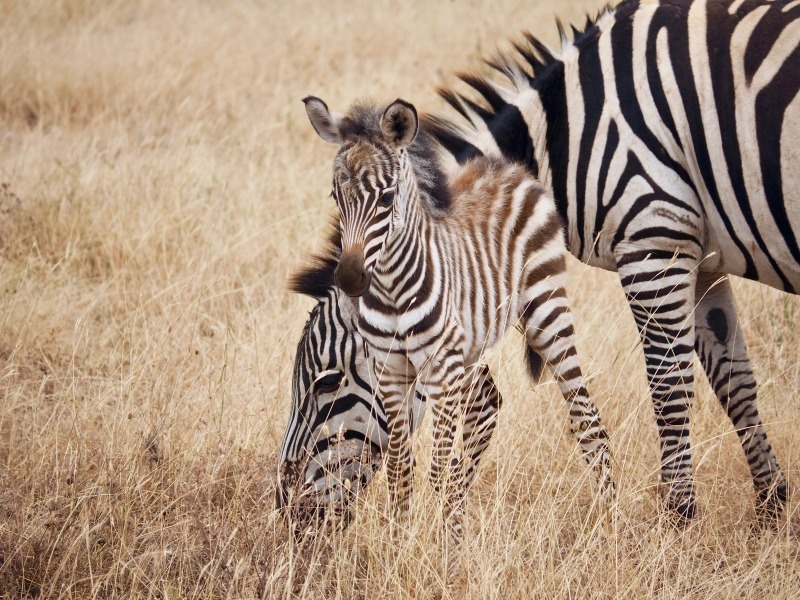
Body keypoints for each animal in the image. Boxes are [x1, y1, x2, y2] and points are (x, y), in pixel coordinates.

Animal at [422, 0, 796, 520]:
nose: (436, 507)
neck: (566, 137)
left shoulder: (654, 241)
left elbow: (669, 387)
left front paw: (677, 516)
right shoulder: (703, 260)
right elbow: (734, 382)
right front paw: (771, 503)